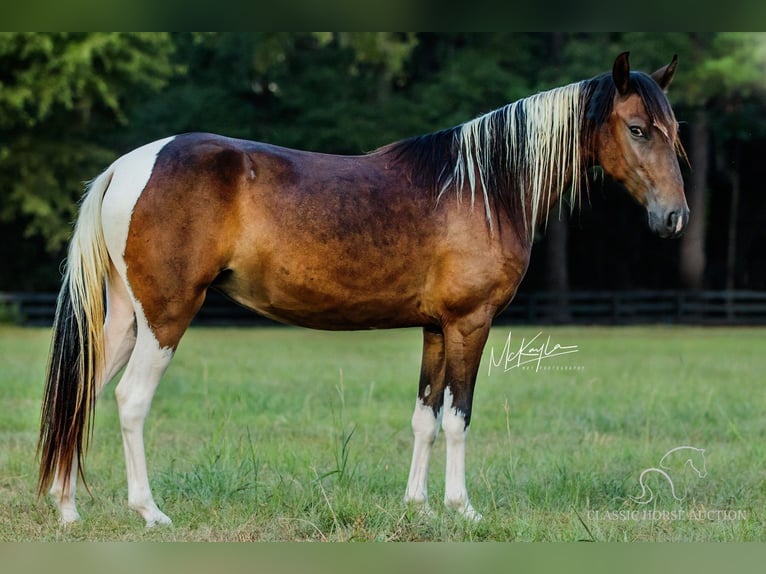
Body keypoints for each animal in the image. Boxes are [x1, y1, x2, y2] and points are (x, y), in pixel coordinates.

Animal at [37, 51, 688, 528]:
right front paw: (462, 510)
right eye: (637, 129)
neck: (485, 184)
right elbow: (459, 416)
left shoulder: (435, 328)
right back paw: (149, 512)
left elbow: (426, 417)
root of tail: (128, 166)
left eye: (675, 133)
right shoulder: (469, 322)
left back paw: (68, 509)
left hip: (126, 318)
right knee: (130, 401)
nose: (675, 217)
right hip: (166, 317)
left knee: (84, 393)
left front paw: (417, 507)